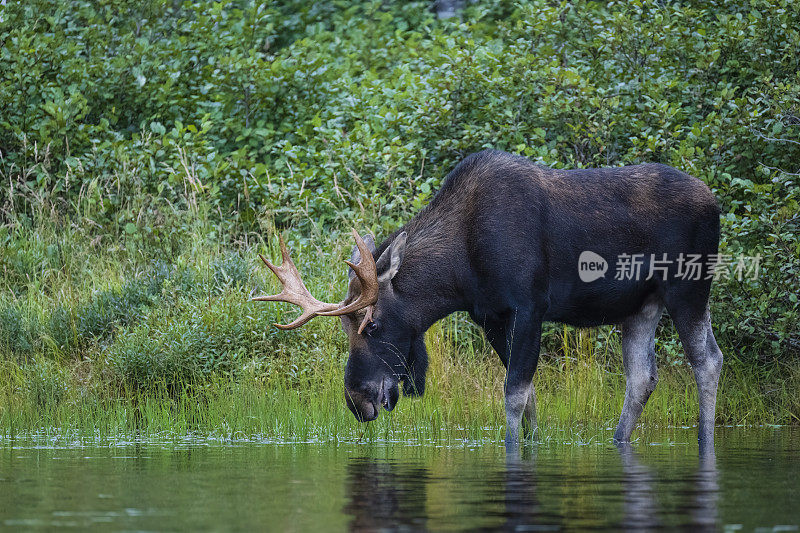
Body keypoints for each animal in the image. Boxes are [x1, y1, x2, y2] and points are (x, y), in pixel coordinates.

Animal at [256, 149, 724, 444]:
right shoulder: (491, 317)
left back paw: (705, 441)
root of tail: (715, 202)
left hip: (688, 286)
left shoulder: (530, 306)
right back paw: (618, 441)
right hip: (640, 305)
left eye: (373, 325)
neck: (459, 272)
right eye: (344, 327)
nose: (357, 400)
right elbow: (530, 395)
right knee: (642, 377)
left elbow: (513, 394)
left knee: (708, 360)